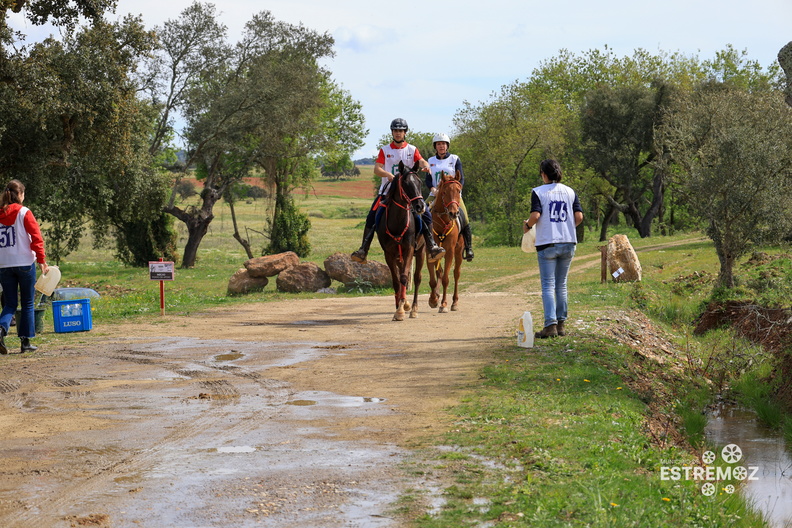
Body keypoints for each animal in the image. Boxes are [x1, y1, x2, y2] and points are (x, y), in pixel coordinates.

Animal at [378, 159, 426, 320]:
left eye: (419, 182)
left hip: (421, 251)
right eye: (406, 183)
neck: (398, 222)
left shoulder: (409, 249)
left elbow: (405, 277)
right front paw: (399, 306)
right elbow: (396, 281)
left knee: (417, 278)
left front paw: (400, 309)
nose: (420, 206)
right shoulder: (389, 254)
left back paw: (414, 308)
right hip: (399, 256)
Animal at [426, 171, 464, 312]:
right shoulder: (429, 252)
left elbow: (446, 279)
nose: (453, 213)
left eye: (459, 191)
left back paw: (454, 302)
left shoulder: (450, 252)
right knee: (440, 273)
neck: (442, 224)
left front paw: (444, 304)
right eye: (444, 192)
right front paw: (433, 299)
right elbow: (433, 278)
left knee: (456, 274)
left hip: (459, 251)